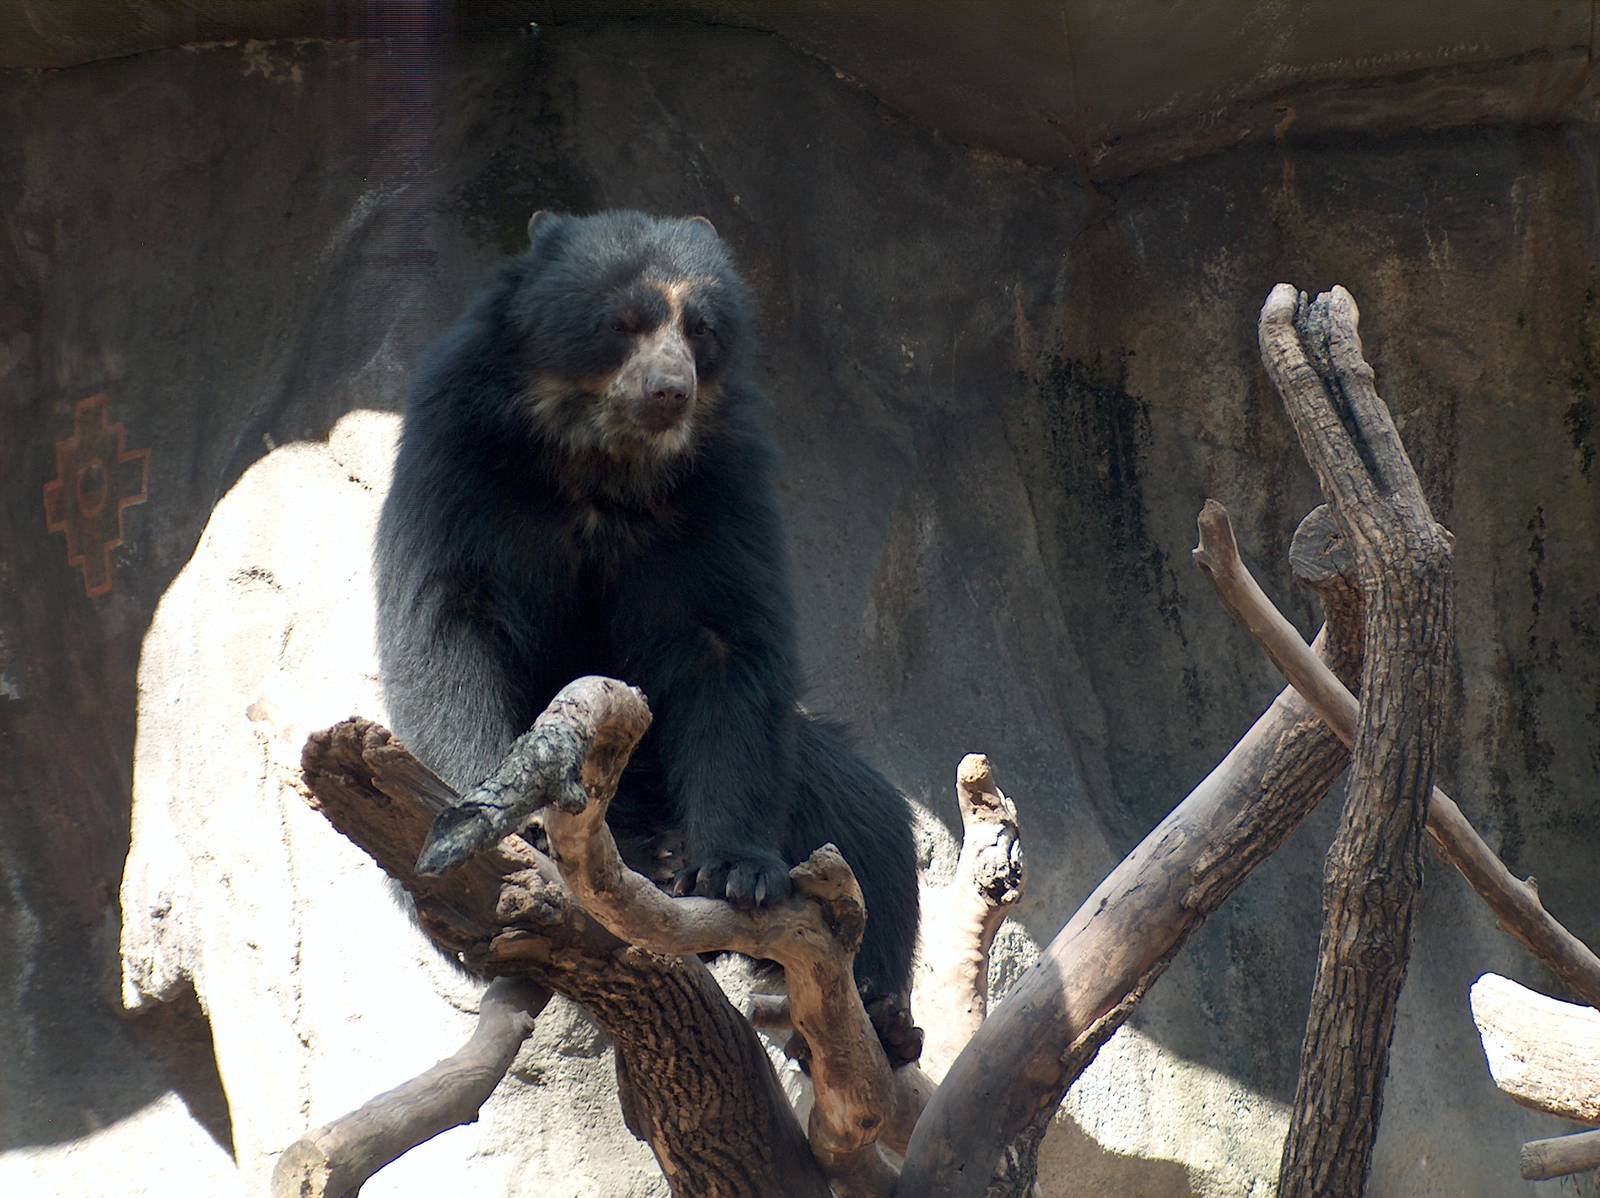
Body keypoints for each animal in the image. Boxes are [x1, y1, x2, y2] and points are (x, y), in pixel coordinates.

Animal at [374, 209, 920, 1041]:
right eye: (622, 322)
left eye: (701, 329)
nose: (671, 389)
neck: (604, 460)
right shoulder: (460, 460)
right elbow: (450, 622)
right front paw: (514, 822)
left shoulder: (719, 486)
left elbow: (727, 642)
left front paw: (735, 871)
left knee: (866, 818)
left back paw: (875, 1001)